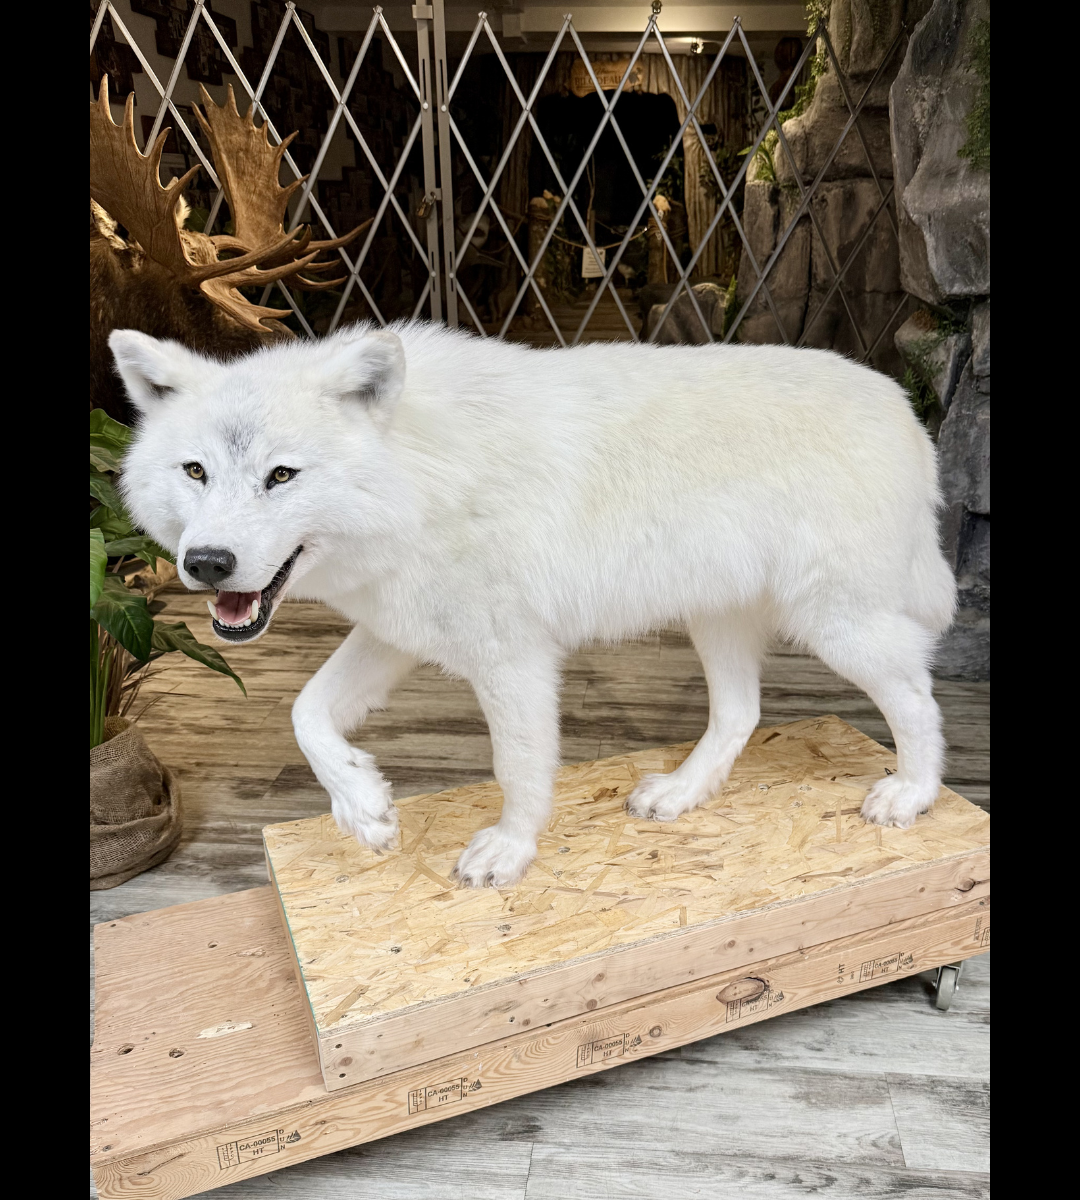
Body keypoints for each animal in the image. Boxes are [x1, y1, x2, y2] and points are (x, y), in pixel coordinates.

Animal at [113, 322, 957, 887]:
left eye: (281, 476)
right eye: (195, 471)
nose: (206, 563)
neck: (422, 477)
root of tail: (905, 410)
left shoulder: (512, 659)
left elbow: (517, 768)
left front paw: (509, 852)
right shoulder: (393, 633)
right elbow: (305, 714)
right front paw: (364, 808)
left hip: (837, 627)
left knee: (919, 699)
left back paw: (911, 796)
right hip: (717, 620)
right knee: (740, 714)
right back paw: (680, 795)